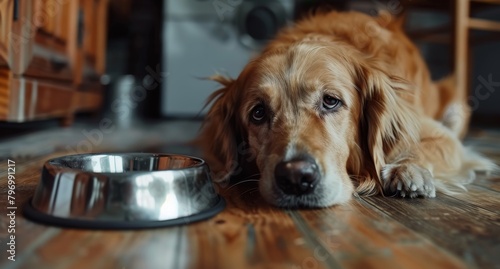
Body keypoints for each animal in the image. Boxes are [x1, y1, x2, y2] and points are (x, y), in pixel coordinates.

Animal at [195, 11, 492, 207]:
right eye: (258, 113)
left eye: (330, 101)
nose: (295, 177)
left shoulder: (445, 138)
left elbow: (425, 145)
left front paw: (408, 169)